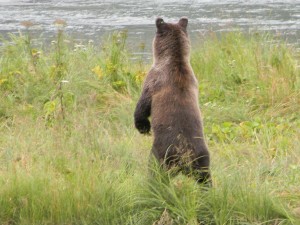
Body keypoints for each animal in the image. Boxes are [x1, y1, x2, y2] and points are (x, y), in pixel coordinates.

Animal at [134, 16, 211, 185]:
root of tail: (185, 158)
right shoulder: (194, 80)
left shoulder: (154, 81)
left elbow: (143, 105)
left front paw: (143, 127)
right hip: (202, 156)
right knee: (205, 176)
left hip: (162, 153)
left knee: (156, 170)